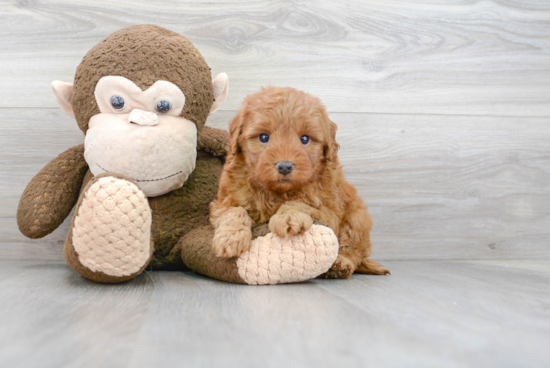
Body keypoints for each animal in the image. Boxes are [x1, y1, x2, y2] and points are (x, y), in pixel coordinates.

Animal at [209, 86, 390, 278]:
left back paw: (340, 264)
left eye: (305, 139)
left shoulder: (328, 210)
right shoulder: (224, 201)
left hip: (357, 216)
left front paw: (287, 217)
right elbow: (234, 210)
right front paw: (231, 238)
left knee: (354, 250)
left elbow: (300, 203)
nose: (285, 166)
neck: (276, 191)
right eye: (264, 137)